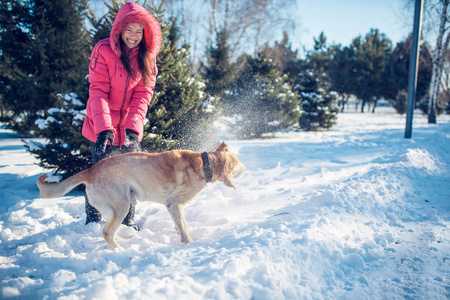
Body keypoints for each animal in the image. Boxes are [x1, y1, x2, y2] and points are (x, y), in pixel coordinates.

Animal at [35, 142, 246, 250]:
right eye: (237, 165)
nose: (246, 168)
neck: (205, 165)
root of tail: (91, 170)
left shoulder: (173, 208)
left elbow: (179, 225)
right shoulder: (173, 203)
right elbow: (184, 228)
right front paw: (189, 245)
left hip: (118, 207)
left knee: (108, 231)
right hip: (121, 206)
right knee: (107, 233)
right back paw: (120, 251)